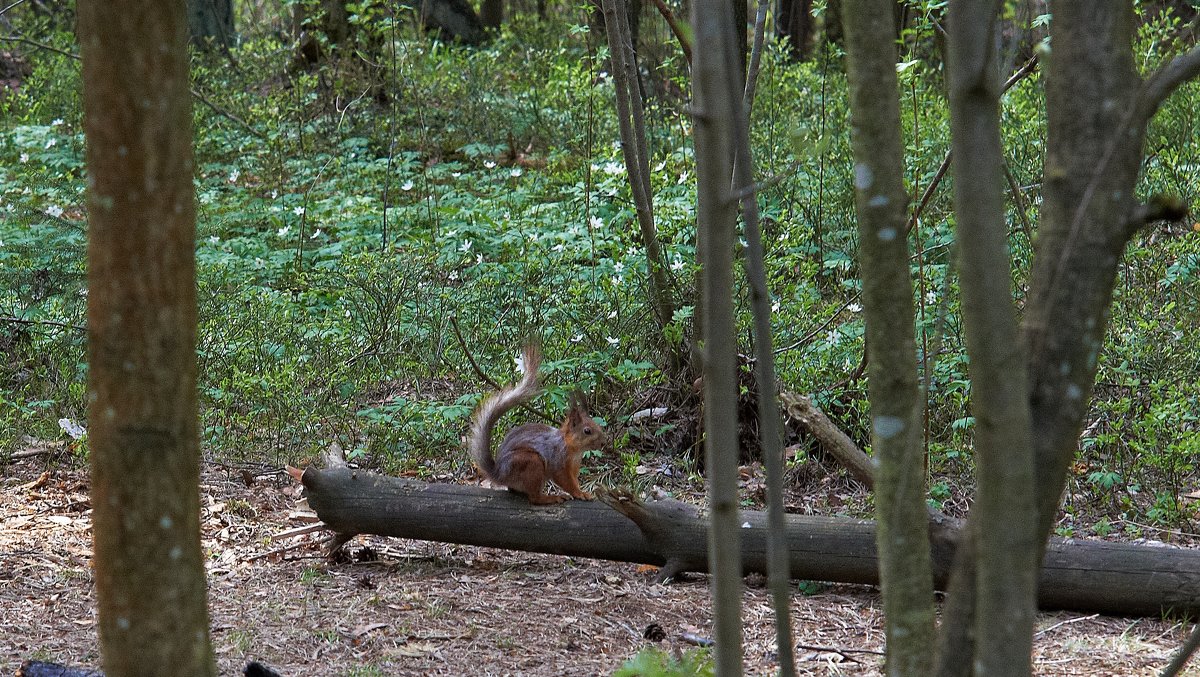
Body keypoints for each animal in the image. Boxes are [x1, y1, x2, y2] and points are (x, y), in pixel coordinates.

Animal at [465, 345, 604, 504]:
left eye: (598, 426)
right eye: (587, 431)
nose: (604, 442)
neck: (573, 448)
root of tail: (499, 475)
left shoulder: (574, 468)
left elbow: (574, 480)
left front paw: (582, 491)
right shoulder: (558, 462)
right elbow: (565, 481)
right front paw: (580, 494)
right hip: (532, 463)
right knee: (534, 498)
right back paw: (551, 497)